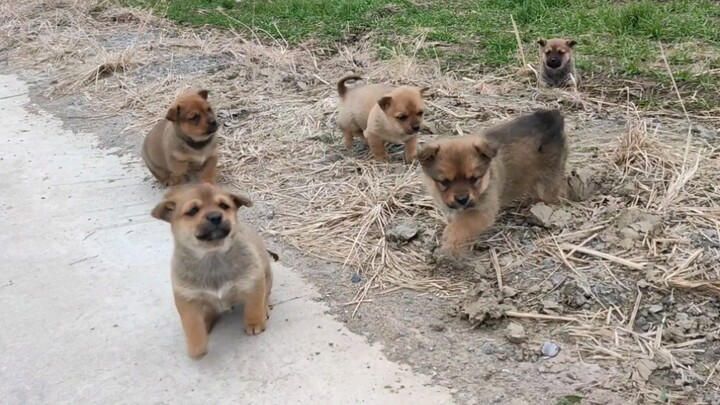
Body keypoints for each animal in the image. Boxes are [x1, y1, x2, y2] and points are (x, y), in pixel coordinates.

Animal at [152, 182, 272, 356]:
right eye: (193, 210)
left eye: (224, 206)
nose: (215, 216)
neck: (212, 255)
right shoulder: (187, 299)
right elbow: (192, 325)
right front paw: (197, 347)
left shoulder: (253, 282)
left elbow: (254, 306)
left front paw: (254, 323)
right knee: (209, 311)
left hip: (267, 276)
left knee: (266, 296)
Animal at [416, 109, 568, 251]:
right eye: (444, 182)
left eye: (474, 179)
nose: (462, 199)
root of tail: (551, 117)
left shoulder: (484, 211)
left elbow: (463, 224)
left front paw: (451, 240)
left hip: (547, 184)